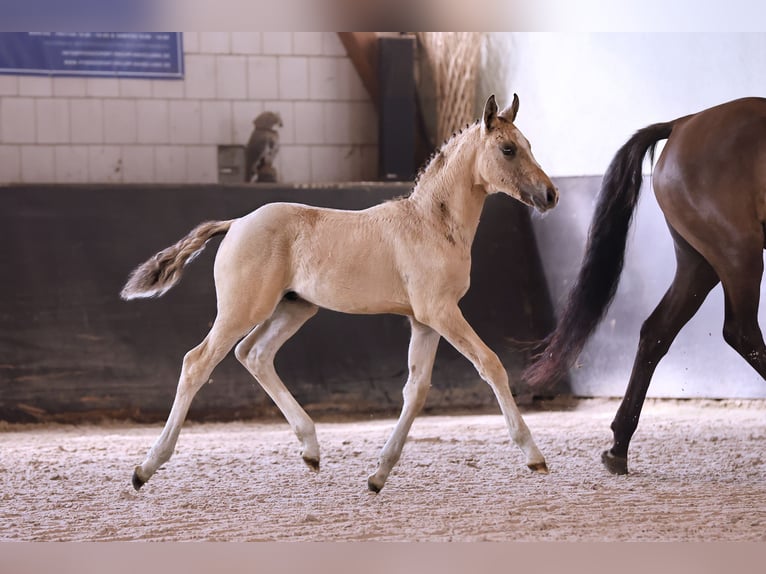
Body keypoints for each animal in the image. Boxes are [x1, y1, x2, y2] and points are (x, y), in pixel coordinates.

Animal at [123, 94, 560, 496]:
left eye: (529, 144)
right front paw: (533, 456)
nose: (550, 195)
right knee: (197, 362)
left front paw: (378, 475)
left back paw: (311, 449)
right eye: (508, 149)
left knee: (254, 354)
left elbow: (416, 390)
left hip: (294, 309)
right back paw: (146, 467)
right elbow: (490, 365)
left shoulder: (424, 320)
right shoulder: (441, 312)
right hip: (241, 310)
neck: (431, 224)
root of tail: (235, 224)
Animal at [524, 98, 766, 476]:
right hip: (737, 251)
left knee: (657, 332)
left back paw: (618, 447)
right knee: (742, 333)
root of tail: (683, 123)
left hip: (700, 264)